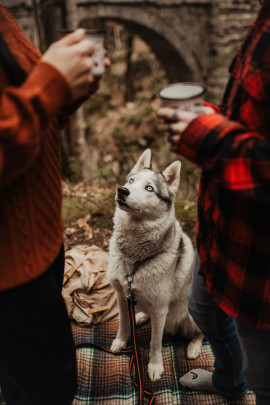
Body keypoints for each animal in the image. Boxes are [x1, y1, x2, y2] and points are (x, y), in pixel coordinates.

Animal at [106, 149, 204, 382]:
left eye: (149, 188)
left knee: (203, 333)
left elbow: (155, 342)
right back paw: (141, 315)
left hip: (191, 313)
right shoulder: (122, 295)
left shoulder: (160, 310)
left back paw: (194, 346)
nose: (122, 191)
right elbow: (123, 323)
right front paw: (121, 341)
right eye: (131, 181)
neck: (134, 259)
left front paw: (154, 366)